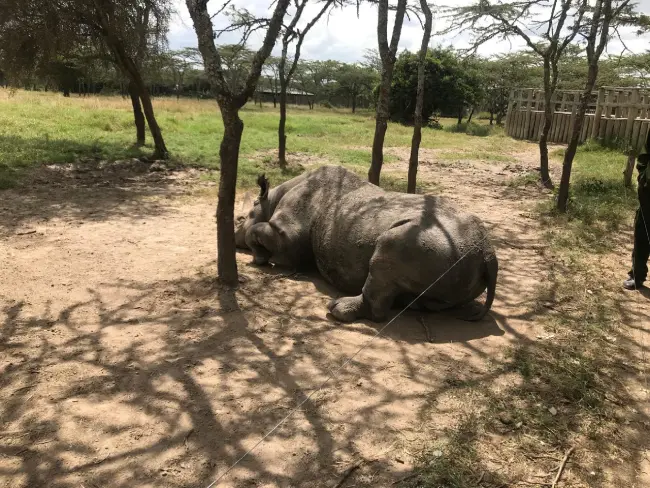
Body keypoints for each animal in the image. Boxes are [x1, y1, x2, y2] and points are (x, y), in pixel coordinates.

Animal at [235, 165, 498, 323]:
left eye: (242, 217)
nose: (235, 238)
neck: (272, 198)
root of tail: (488, 254)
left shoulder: (288, 235)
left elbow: (260, 232)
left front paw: (259, 257)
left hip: (430, 242)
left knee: (388, 250)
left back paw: (337, 309)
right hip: (453, 250)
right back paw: (413, 304)